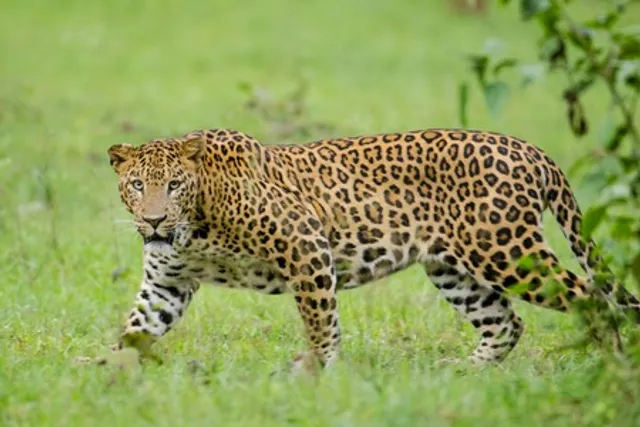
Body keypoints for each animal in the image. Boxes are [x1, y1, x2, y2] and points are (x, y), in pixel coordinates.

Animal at [106, 127, 640, 370]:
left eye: (174, 185)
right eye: (137, 184)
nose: (154, 219)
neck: (195, 226)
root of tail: (531, 150)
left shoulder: (306, 244)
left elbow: (320, 321)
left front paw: (317, 372)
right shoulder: (167, 284)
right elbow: (136, 328)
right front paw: (104, 374)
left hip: (506, 251)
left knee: (593, 298)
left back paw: (614, 366)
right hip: (453, 269)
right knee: (505, 322)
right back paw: (465, 373)